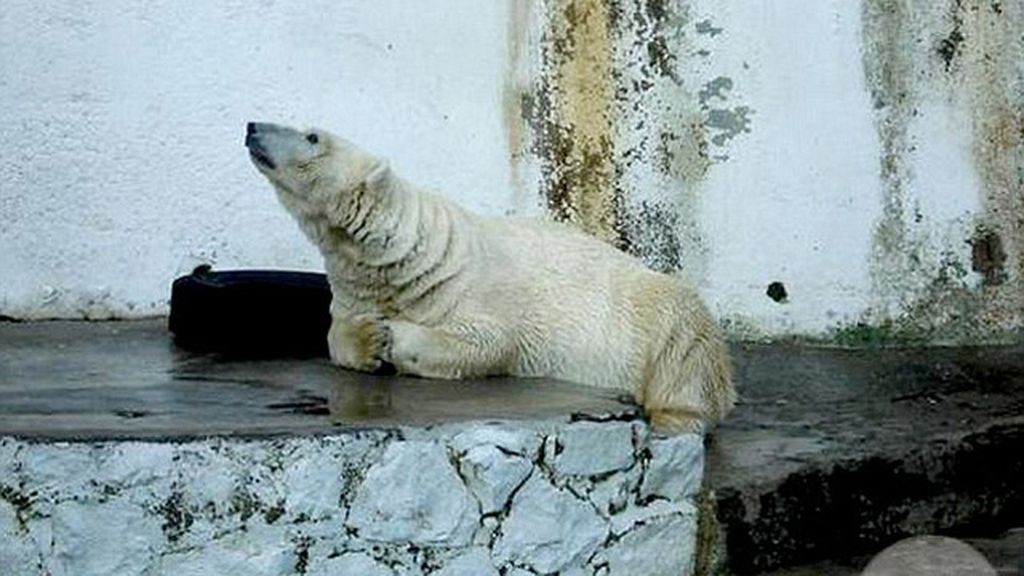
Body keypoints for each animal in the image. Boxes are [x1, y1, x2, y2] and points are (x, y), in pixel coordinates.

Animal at [245, 122, 735, 432]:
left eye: (312, 136)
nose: (252, 126)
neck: (404, 258)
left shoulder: (471, 287)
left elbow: (491, 341)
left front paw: (392, 338)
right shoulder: (355, 285)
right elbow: (335, 333)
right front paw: (368, 339)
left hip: (653, 311)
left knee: (684, 354)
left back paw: (674, 418)